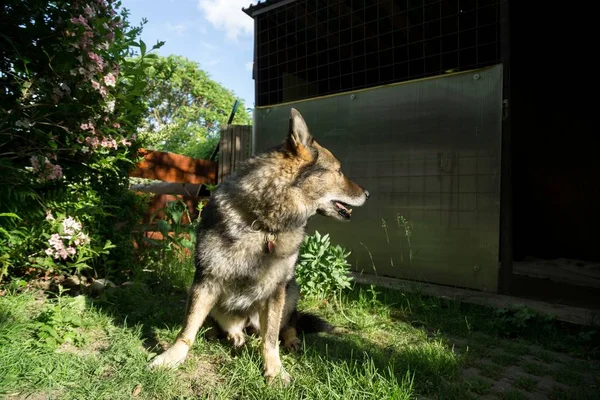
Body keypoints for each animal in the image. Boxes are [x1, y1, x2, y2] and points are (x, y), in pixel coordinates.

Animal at [149, 106, 370, 384]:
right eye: (339, 171)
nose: (368, 194)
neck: (264, 223)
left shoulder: (276, 289)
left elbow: (270, 339)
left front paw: (274, 370)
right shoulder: (206, 281)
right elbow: (188, 327)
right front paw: (172, 357)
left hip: (291, 289)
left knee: (287, 325)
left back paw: (290, 340)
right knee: (224, 324)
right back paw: (231, 335)